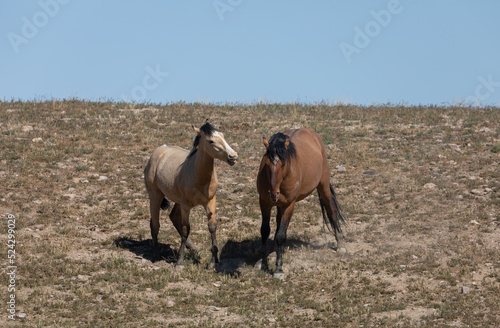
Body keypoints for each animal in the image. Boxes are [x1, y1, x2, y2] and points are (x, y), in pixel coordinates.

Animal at [145, 121, 238, 268]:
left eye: (223, 136)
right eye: (211, 141)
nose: (233, 156)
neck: (198, 176)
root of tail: (157, 152)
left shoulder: (210, 201)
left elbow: (212, 227)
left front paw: (213, 261)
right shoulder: (186, 206)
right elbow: (185, 229)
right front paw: (180, 262)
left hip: (177, 201)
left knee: (173, 217)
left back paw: (193, 248)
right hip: (155, 195)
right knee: (155, 223)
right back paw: (155, 254)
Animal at [256, 128, 346, 280]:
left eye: (283, 164)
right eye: (266, 164)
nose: (273, 194)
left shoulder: (289, 205)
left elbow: (280, 236)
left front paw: (278, 269)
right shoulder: (264, 202)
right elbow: (265, 231)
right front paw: (262, 261)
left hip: (323, 186)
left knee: (331, 210)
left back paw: (340, 243)